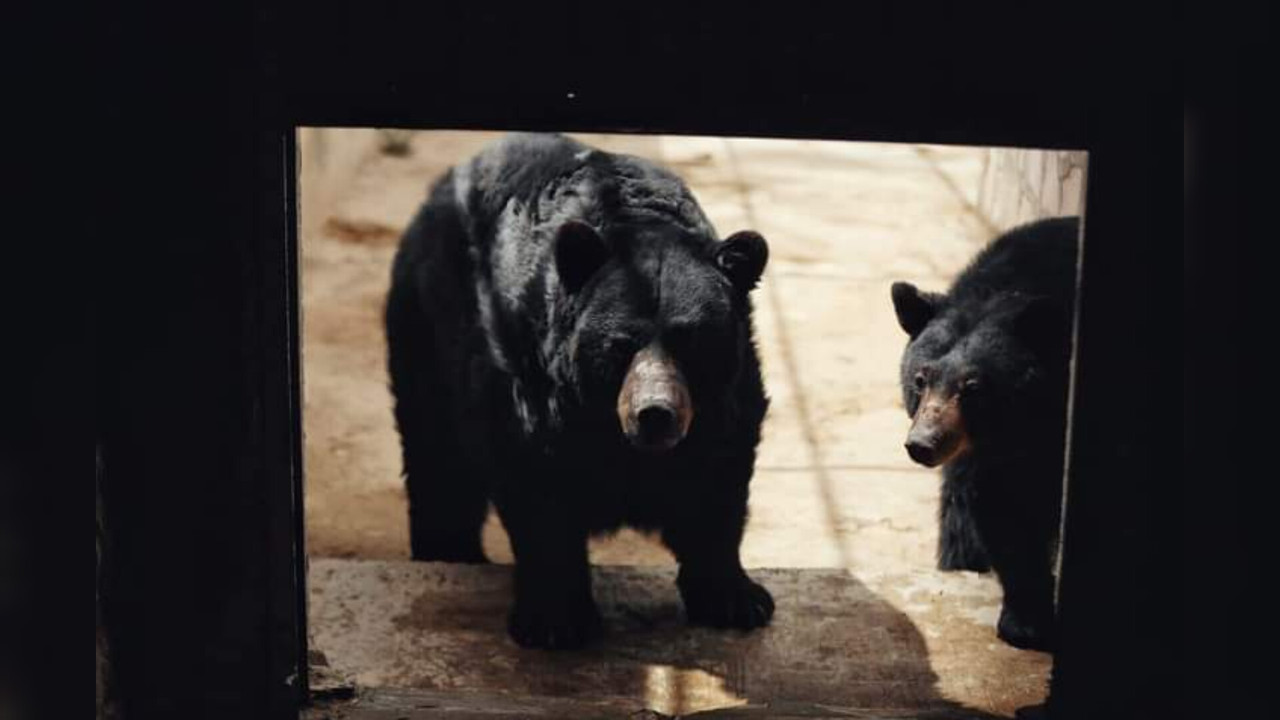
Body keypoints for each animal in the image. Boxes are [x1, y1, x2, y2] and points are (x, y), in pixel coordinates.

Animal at [384, 131, 773, 648]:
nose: (655, 413)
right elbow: (539, 486)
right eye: (621, 344)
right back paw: (450, 550)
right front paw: (556, 620)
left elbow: (716, 478)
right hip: (430, 322)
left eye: (690, 341)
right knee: (438, 452)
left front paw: (737, 599)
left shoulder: (726, 396)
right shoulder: (532, 377)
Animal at [890, 213, 1080, 650]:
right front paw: (1027, 619)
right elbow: (1000, 506)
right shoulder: (986, 453)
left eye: (972, 386)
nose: (922, 444)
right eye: (920, 379)